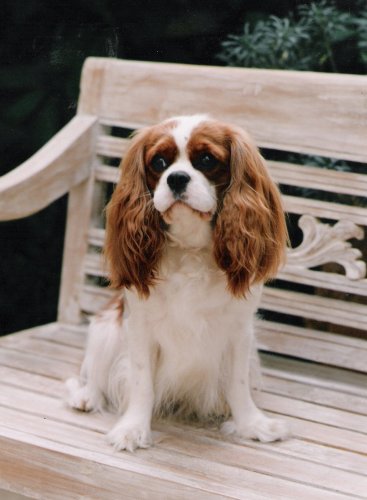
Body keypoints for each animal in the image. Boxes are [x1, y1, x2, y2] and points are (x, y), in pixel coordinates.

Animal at [65, 115, 290, 452]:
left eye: (207, 160)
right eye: (159, 162)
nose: (177, 178)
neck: (190, 247)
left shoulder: (239, 330)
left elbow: (238, 384)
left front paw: (251, 424)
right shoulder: (138, 327)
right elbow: (141, 383)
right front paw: (133, 429)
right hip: (105, 328)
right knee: (95, 372)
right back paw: (86, 396)